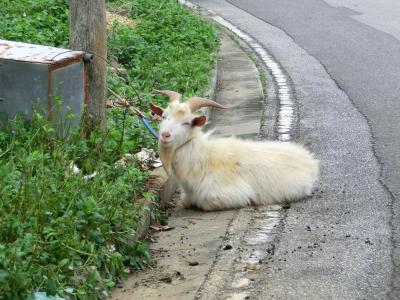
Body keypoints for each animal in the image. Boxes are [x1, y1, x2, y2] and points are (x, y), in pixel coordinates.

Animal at [150, 89, 318, 211]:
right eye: (164, 116)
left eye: (187, 122)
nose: (165, 135)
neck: (203, 157)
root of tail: (309, 159)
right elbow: (185, 202)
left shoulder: (231, 195)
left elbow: (204, 203)